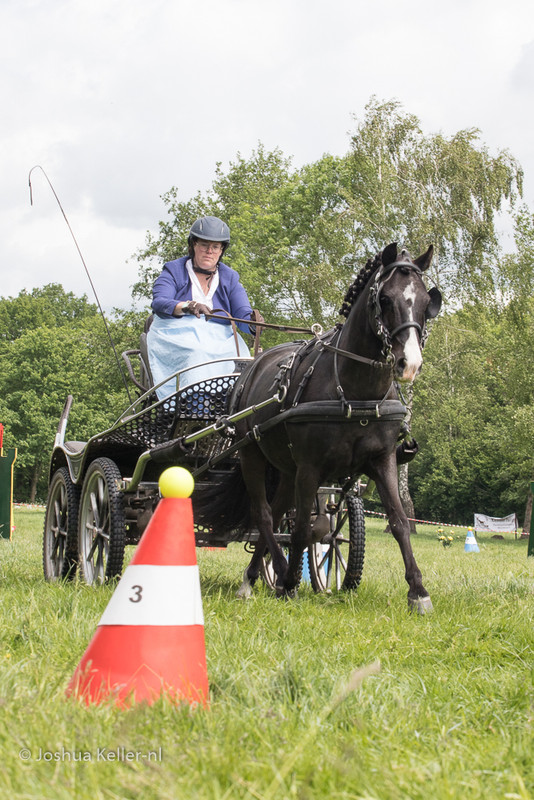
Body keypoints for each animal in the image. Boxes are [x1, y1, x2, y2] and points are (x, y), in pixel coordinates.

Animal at [197, 244, 444, 612]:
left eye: (428, 302)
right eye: (385, 299)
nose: (409, 364)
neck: (357, 393)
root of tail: (252, 366)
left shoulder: (382, 460)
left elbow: (399, 522)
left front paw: (418, 591)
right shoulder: (311, 468)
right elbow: (303, 528)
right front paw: (289, 583)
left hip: (286, 470)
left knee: (277, 513)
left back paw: (253, 577)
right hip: (252, 454)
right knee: (264, 515)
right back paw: (276, 574)